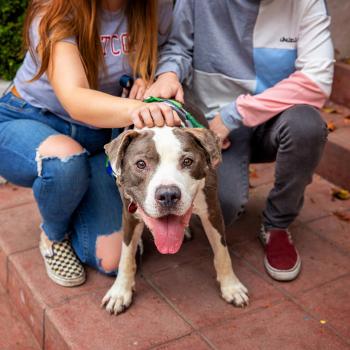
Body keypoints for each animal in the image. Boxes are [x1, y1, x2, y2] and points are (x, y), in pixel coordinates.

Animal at [101, 123, 249, 314]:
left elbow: (222, 252)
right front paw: (120, 292)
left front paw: (231, 287)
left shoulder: (212, 210)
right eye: (141, 164)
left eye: (187, 161)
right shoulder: (130, 215)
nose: (168, 195)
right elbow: (126, 256)